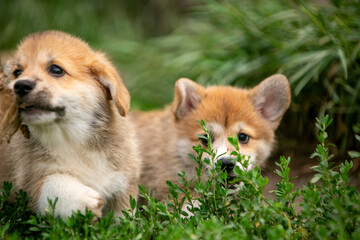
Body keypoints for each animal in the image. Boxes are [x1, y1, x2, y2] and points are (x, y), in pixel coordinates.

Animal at [0, 31, 141, 218]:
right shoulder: (28, 180)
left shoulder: (123, 184)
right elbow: (51, 184)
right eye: (17, 72)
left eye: (56, 69)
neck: (70, 139)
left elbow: (123, 217)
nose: (20, 86)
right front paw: (82, 199)